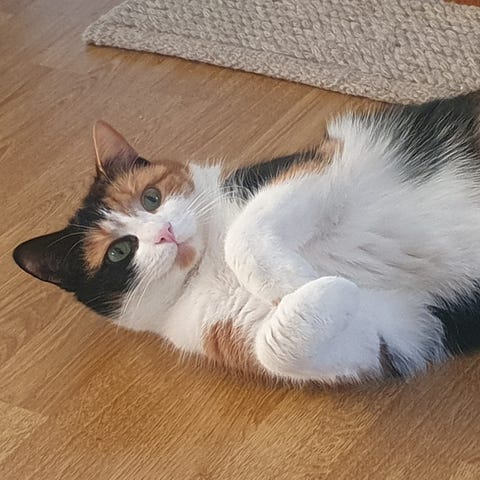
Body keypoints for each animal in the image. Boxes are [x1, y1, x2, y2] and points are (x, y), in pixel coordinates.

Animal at [13, 92, 480, 384]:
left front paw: (294, 280)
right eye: (119, 252)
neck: (208, 266)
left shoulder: (322, 167)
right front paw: (326, 287)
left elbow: (243, 235)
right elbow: (281, 345)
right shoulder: (391, 335)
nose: (165, 233)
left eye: (151, 198)